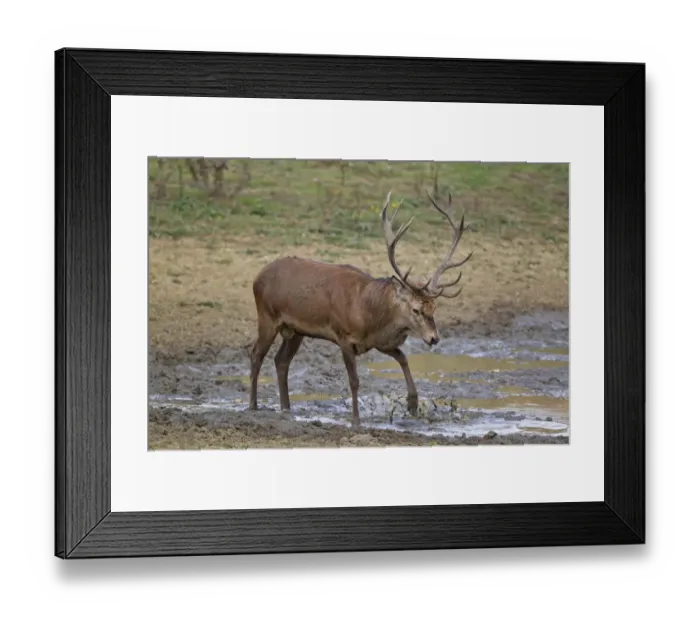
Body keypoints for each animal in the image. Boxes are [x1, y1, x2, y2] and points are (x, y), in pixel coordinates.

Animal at [248, 189, 474, 430]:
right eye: (415, 309)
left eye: (434, 308)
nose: (434, 338)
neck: (366, 313)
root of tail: (257, 277)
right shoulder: (343, 336)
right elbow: (354, 380)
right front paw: (356, 420)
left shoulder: (377, 341)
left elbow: (403, 357)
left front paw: (412, 403)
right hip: (266, 316)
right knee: (256, 354)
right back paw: (253, 405)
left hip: (295, 331)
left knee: (281, 361)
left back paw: (286, 408)